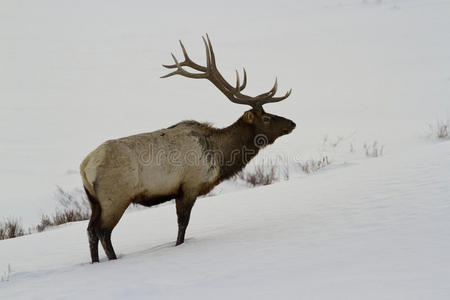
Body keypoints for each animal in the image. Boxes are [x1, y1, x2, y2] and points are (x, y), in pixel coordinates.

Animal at [80, 35, 296, 262]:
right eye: (267, 118)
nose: (292, 123)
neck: (219, 156)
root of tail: (84, 167)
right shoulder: (189, 186)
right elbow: (182, 225)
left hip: (94, 201)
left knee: (90, 230)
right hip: (115, 198)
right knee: (103, 231)